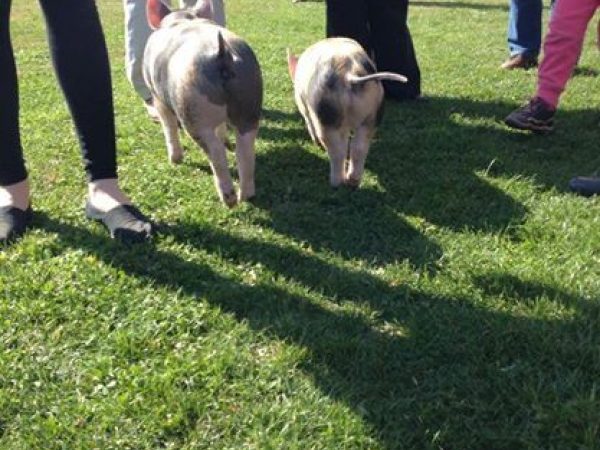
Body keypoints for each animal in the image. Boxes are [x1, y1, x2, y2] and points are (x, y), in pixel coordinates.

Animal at [144, 0, 263, 207]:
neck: (184, 17)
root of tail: (223, 54)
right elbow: (221, 128)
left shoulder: (157, 96)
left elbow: (168, 126)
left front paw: (174, 161)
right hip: (249, 101)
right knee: (245, 150)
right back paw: (245, 196)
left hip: (192, 108)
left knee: (215, 152)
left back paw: (229, 201)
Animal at [288, 38, 407, 188]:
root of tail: (349, 74)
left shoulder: (302, 103)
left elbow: (308, 121)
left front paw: (317, 144)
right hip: (373, 112)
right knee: (358, 147)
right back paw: (353, 182)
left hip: (326, 113)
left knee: (337, 150)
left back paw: (335, 183)